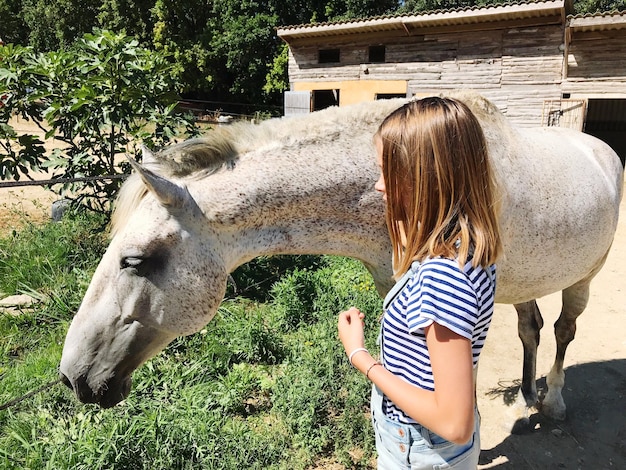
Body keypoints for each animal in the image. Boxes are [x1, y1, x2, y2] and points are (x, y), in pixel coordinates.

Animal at [57, 92, 620, 430]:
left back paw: (554, 402)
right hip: (529, 279)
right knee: (531, 329)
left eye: (136, 260)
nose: (72, 376)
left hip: (586, 276)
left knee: (564, 331)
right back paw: (527, 397)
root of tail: (602, 149)